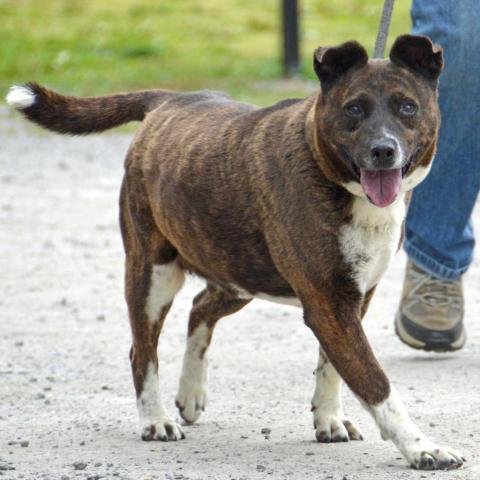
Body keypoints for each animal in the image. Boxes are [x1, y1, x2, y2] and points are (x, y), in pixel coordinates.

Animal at [6, 35, 464, 470]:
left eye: (407, 106)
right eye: (354, 109)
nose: (383, 150)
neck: (336, 180)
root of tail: (168, 100)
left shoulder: (355, 298)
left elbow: (332, 365)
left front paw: (328, 418)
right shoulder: (329, 306)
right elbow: (375, 382)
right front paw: (423, 447)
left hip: (238, 272)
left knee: (199, 308)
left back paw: (190, 392)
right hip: (152, 274)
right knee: (143, 350)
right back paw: (155, 419)